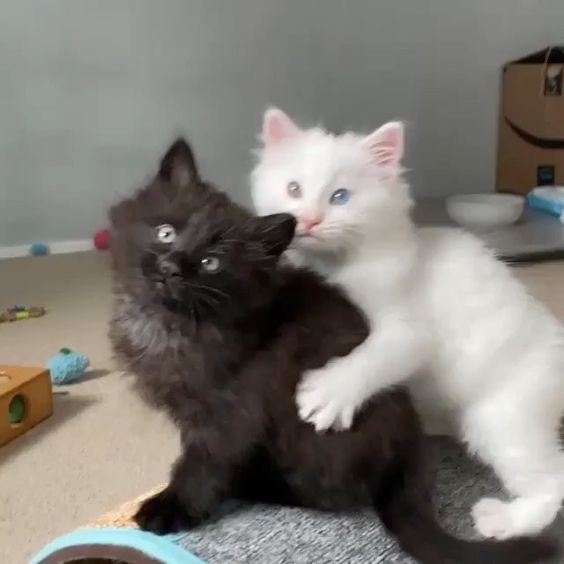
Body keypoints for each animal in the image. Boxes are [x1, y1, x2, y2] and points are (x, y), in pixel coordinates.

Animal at [109, 141, 556, 564]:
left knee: (330, 493)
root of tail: (407, 445)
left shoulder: (232, 412)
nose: (169, 267)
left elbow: (203, 465)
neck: (169, 325)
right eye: (166, 233)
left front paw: (168, 509)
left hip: (320, 437)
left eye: (210, 262)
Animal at [251, 107, 564, 540]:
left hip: (502, 416)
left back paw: (504, 520)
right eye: (293, 189)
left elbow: (371, 358)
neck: (336, 265)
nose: (309, 221)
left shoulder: (411, 332)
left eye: (340, 196)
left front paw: (327, 395)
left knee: (554, 480)